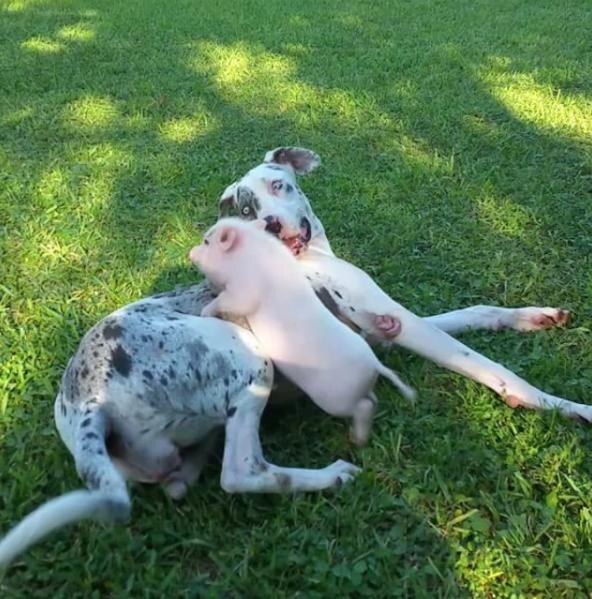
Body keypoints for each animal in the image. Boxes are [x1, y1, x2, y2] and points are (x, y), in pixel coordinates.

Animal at [0, 146, 588, 568]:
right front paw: (568, 407)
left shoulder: (386, 329)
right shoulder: (397, 322)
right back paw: (329, 476)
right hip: (248, 360)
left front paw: (533, 316)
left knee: (187, 477)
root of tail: (84, 399)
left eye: (278, 185)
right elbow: (494, 368)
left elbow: (476, 311)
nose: (271, 225)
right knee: (241, 473)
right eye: (245, 208)